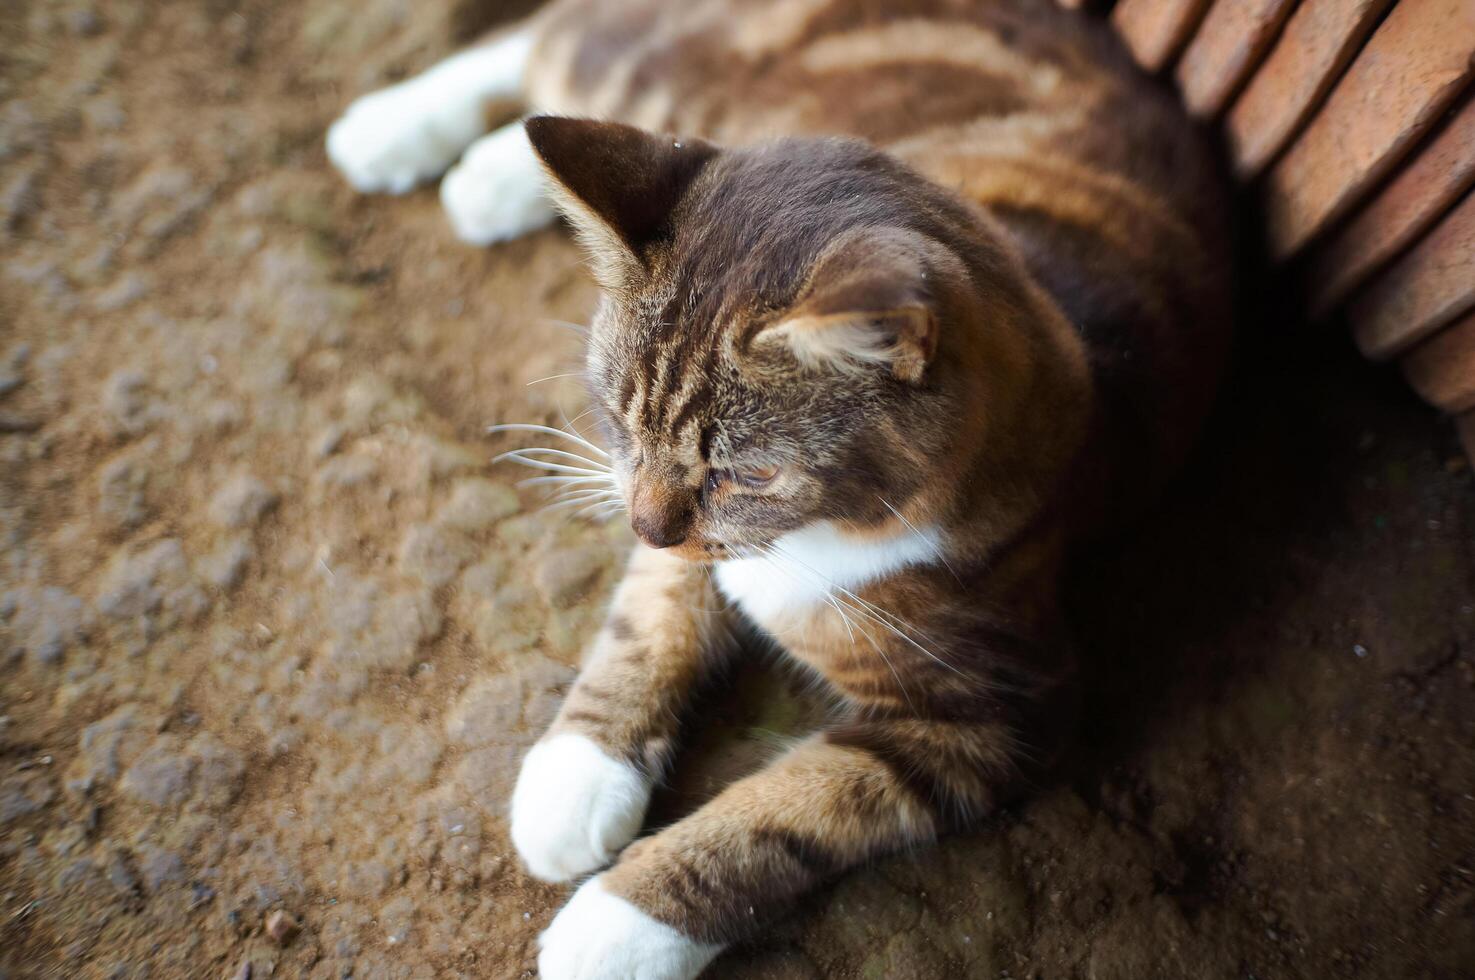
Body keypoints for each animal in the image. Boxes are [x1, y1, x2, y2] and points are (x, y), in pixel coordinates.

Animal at [325, 3, 1233, 974]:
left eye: (748, 472)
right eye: (616, 415)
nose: (642, 525)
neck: (823, 535)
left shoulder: (1000, 712)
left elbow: (797, 811)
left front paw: (619, 924)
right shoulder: (689, 537)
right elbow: (649, 620)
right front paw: (576, 775)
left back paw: (486, 174)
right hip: (649, 76)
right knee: (549, 42)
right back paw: (399, 130)